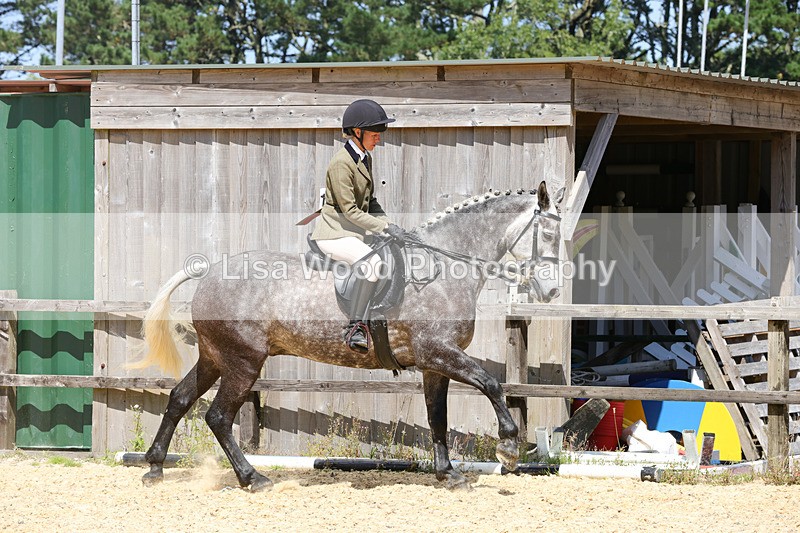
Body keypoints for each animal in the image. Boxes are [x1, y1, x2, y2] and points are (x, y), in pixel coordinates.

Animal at [136, 180, 564, 491]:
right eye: (548, 235)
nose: (552, 291)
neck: (441, 267)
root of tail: (208, 272)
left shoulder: (434, 364)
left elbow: (437, 417)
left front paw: (450, 474)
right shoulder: (438, 352)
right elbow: (491, 383)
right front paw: (507, 448)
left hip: (215, 357)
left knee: (179, 399)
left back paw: (155, 468)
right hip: (243, 362)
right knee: (219, 416)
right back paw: (253, 478)